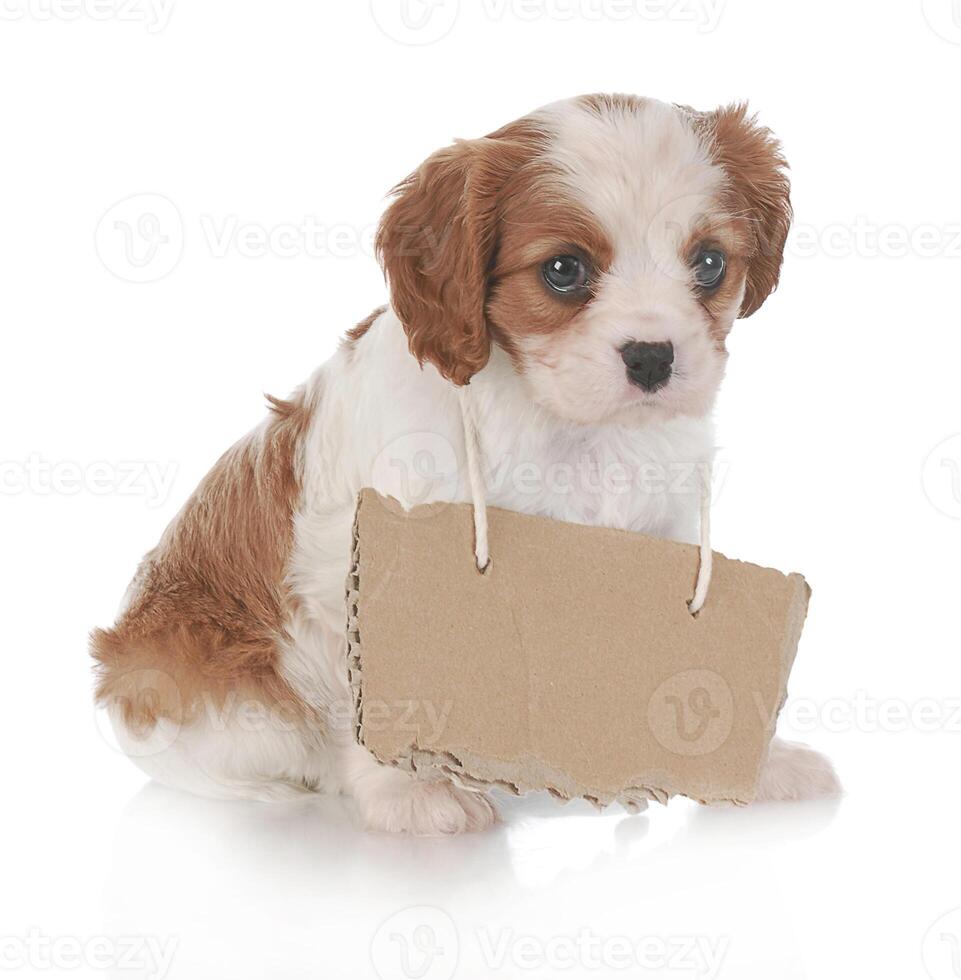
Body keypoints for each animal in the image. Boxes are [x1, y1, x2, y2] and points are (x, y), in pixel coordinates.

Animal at [92, 95, 840, 836]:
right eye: (564, 270)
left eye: (710, 263)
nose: (653, 357)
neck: (570, 429)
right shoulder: (357, 565)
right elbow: (374, 687)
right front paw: (407, 792)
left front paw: (752, 765)